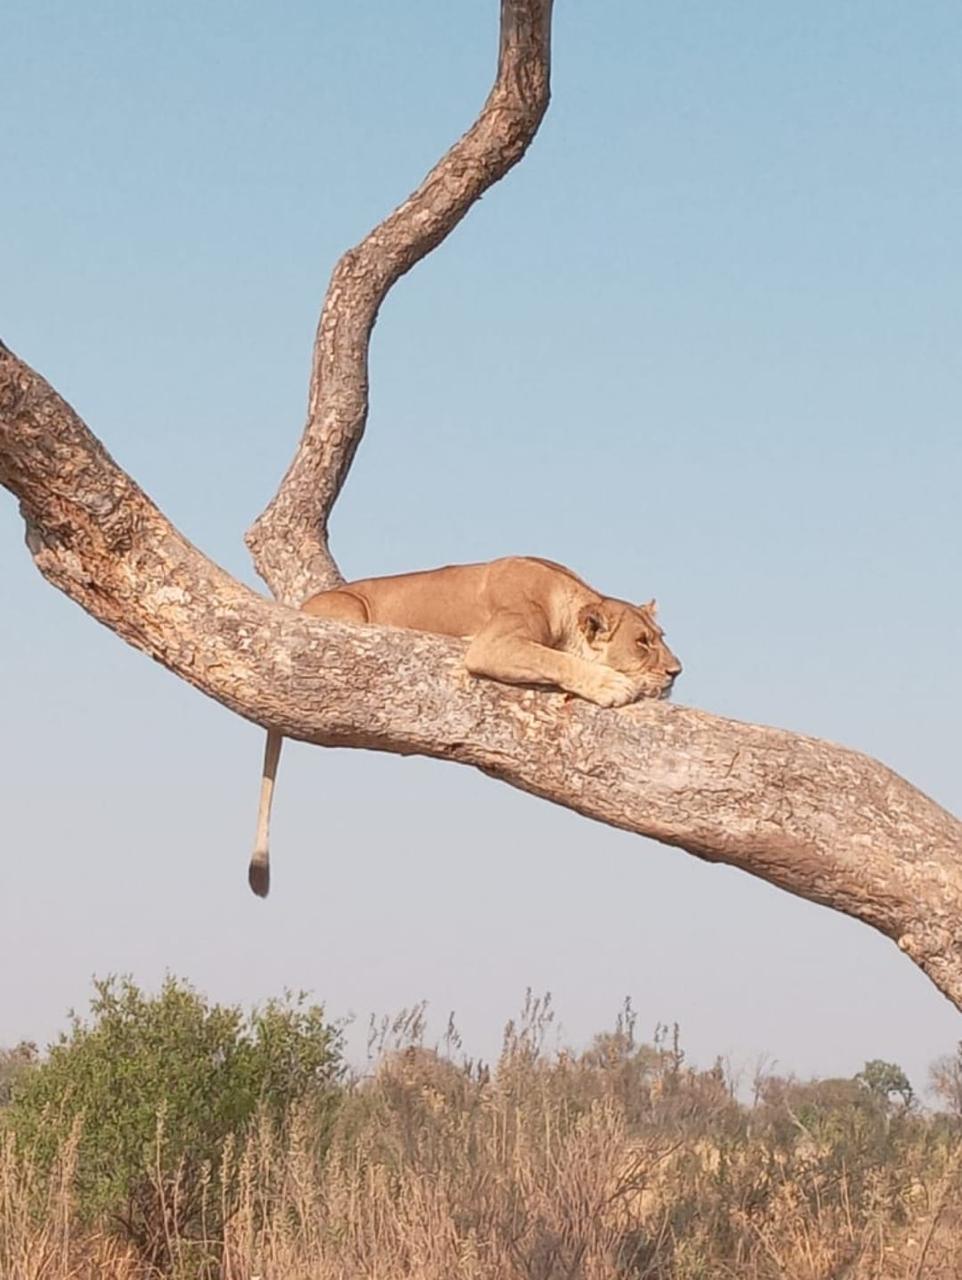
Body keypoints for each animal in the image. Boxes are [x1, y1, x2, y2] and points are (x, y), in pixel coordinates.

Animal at [249, 556, 681, 896]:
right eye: (642, 642)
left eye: (660, 637)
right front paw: (612, 685)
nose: (677, 671)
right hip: (351, 613)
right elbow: (555, 660)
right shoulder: (494, 644)